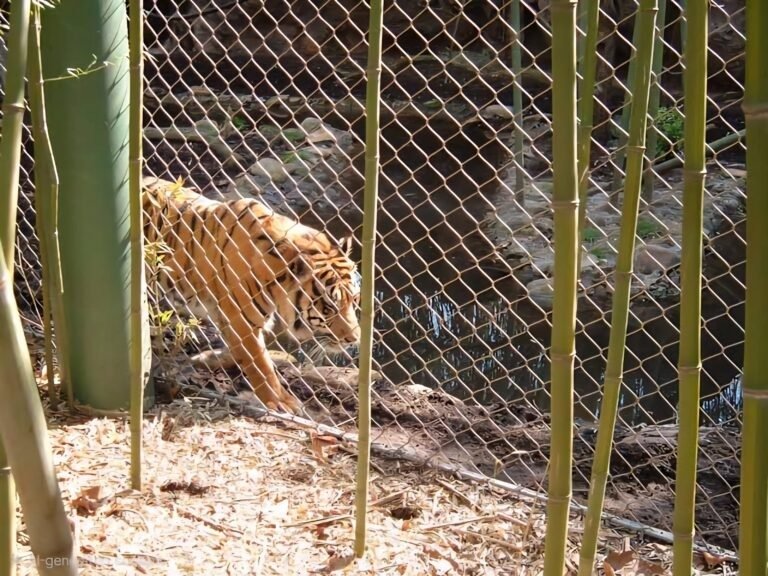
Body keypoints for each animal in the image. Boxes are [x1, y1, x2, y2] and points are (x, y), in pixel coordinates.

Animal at [142, 176, 361, 414]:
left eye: (354, 300)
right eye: (329, 308)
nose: (354, 339)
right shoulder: (243, 321)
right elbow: (262, 366)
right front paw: (282, 402)